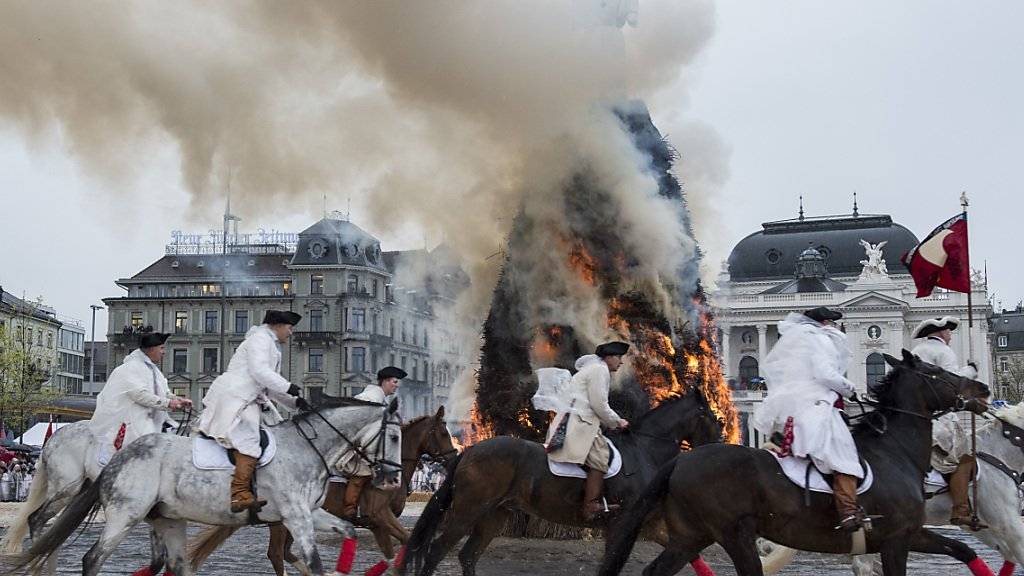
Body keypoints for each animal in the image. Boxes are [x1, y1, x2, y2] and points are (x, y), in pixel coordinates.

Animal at [3, 393, 403, 573]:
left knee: (174, 564)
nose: (392, 478)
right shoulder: (295, 516)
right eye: (395, 436)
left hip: (166, 517)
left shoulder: (309, 514)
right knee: (85, 553)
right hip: (117, 511)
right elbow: (314, 562)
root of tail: (124, 454)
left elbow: (348, 532)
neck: (307, 447)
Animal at [187, 403, 456, 573]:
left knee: (285, 553)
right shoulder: (381, 516)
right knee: (276, 554)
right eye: (443, 433)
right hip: (281, 522)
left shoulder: (378, 525)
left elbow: (391, 553)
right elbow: (408, 540)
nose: (454, 457)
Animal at [399, 385, 720, 573]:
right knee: (436, 552)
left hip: (494, 515)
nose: (719, 447)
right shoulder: (621, 524)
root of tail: (470, 451)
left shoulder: (647, 525)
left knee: (468, 555)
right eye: (712, 417)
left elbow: (689, 552)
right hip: (468, 511)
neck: (644, 450)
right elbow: (610, 565)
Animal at [598, 348, 991, 573]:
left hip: (691, 536)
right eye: (937, 372)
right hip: (733, 534)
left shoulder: (910, 533)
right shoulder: (895, 540)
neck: (894, 451)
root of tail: (681, 461)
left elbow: (961, 549)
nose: (983, 389)